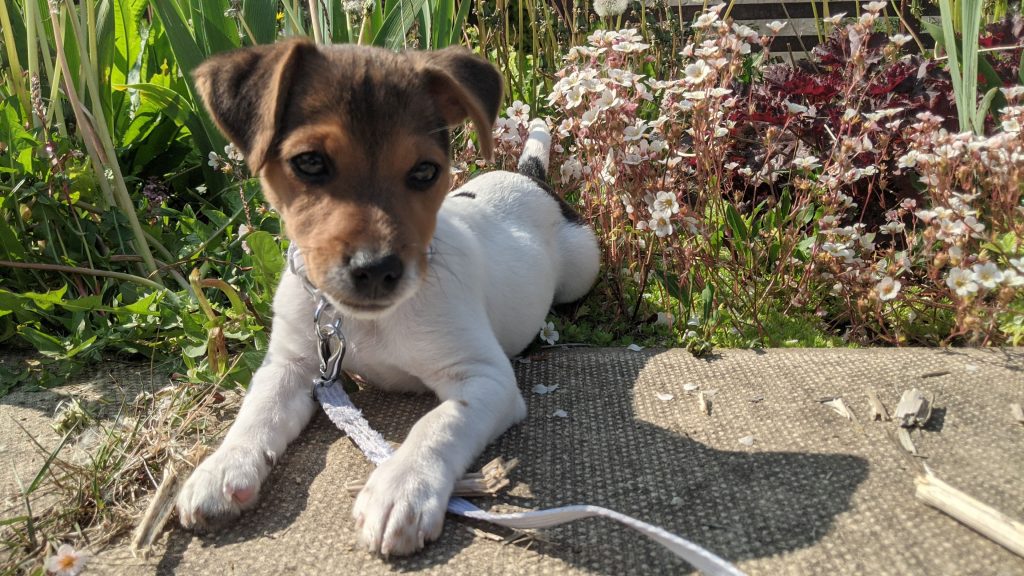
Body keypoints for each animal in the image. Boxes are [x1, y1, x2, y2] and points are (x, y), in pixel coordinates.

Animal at [178, 38, 598, 553]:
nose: (376, 270)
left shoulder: (486, 379)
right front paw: (222, 468)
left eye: (424, 171)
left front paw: (402, 486)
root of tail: (530, 178)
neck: (364, 322)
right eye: (309, 162)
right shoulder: (293, 365)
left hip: (582, 268)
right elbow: (257, 412)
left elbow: (438, 424)